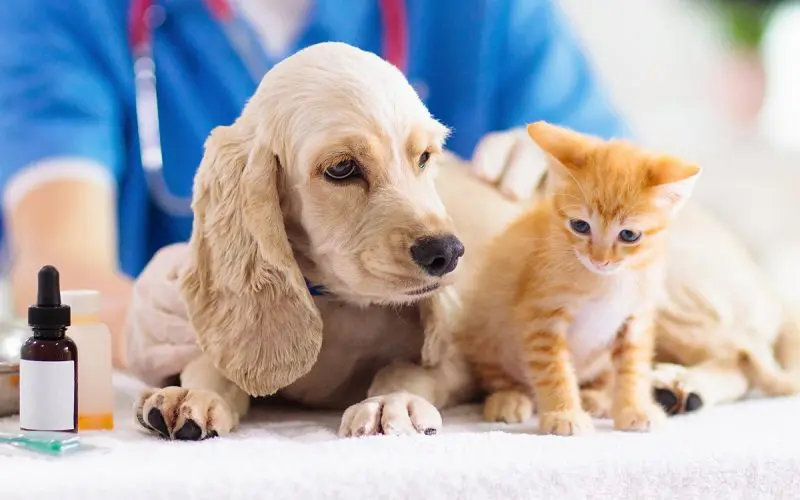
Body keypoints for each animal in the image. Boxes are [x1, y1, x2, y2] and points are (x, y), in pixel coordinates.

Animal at [456, 121, 700, 434]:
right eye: (580, 226)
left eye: (629, 235)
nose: (600, 259)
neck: (608, 281)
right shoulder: (542, 317)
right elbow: (554, 369)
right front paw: (565, 415)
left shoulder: (635, 319)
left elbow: (633, 367)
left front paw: (634, 407)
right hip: (487, 328)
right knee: (496, 372)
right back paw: (509, 398)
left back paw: (597, 397)